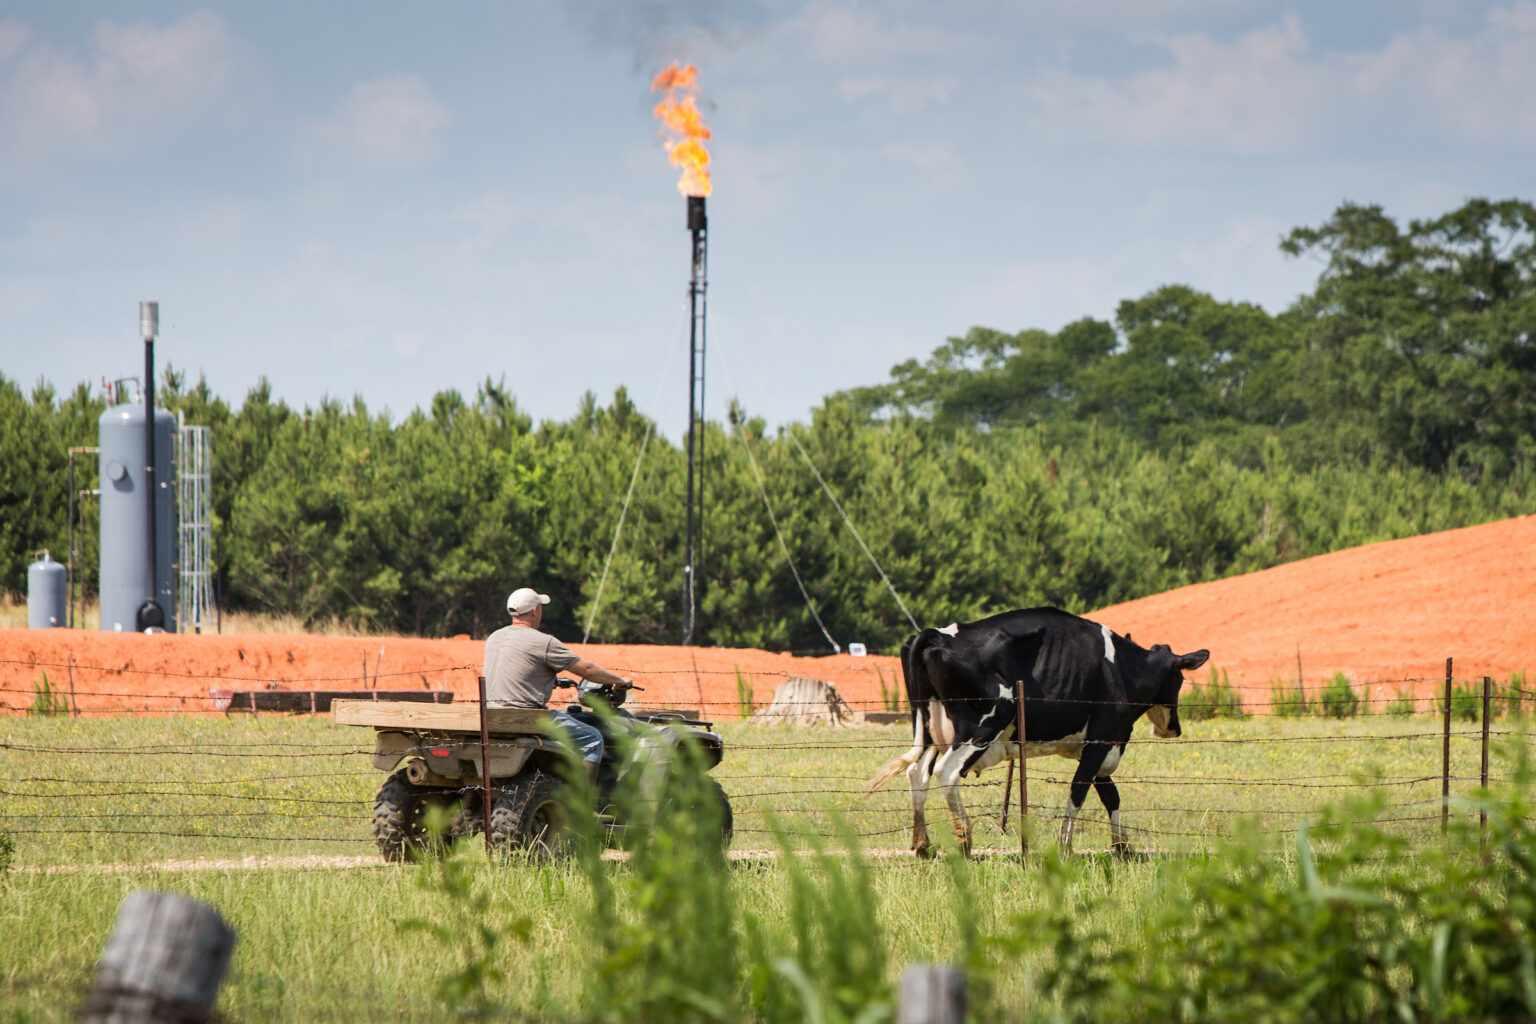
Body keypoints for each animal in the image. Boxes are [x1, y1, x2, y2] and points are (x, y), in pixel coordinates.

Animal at [872, 607, 1204, 859]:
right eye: (1179, 679)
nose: (1174, 728)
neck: (1121, 669)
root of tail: (935, 633)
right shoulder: (1101, 739)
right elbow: (1079, 792)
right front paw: (1066, 847)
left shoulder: (1095, 746)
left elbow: (1110, 796)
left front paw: (1122, 846)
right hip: (983, 725)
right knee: (946, 772)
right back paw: (965, 841)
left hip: (930, 729)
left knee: (917, 774)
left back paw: (923, 845)